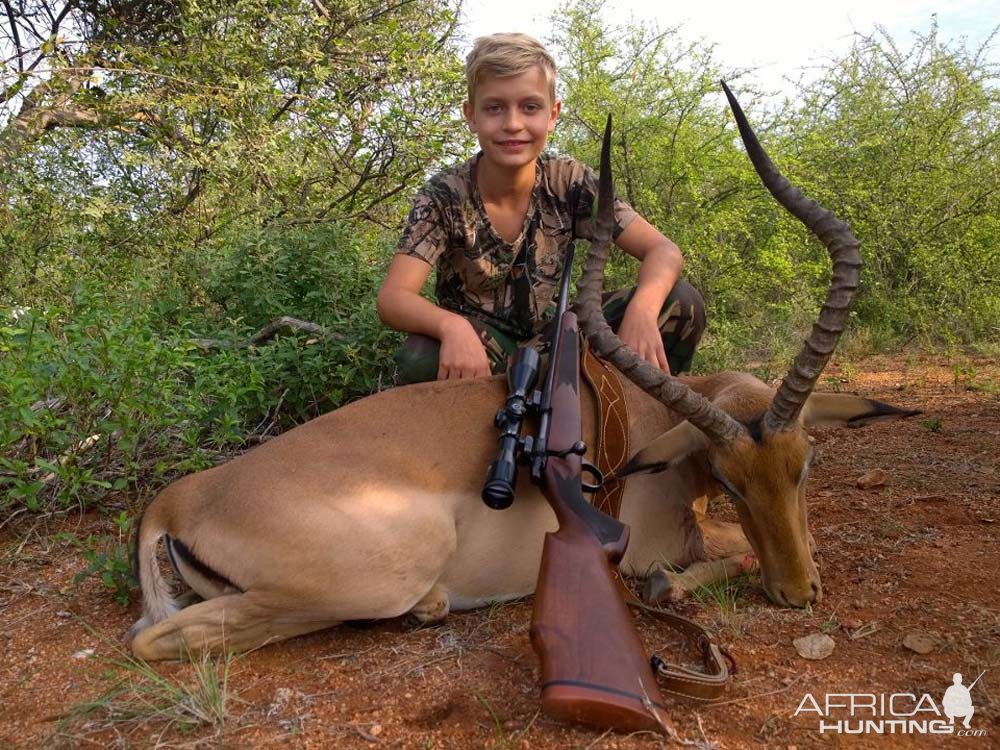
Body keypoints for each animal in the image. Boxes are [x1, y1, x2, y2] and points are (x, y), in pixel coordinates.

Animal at [129, 86, 916, 664]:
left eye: (804, 464)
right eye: (729, 479)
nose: (799, 592)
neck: (657, 420)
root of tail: (181, 497)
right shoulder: (656, 545)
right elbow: (699, 567)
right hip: (362, 579)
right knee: (156, 639)